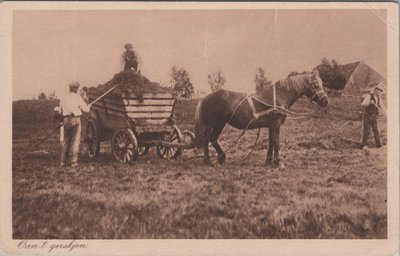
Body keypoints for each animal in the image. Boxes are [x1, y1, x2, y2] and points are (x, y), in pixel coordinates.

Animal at [194, 71, 328, 168]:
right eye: (316, 85)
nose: (326, 101)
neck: (279, 96)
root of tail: (205, 98)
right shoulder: (276, 123)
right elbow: (276, 142)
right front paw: (278, 162)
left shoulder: (271, 125)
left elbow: (271, 142)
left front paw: (269, 161)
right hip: (211, 123)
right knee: (207, 139)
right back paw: (208, 160)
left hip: (220, 123)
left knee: (213, 138)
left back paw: (221, 157)